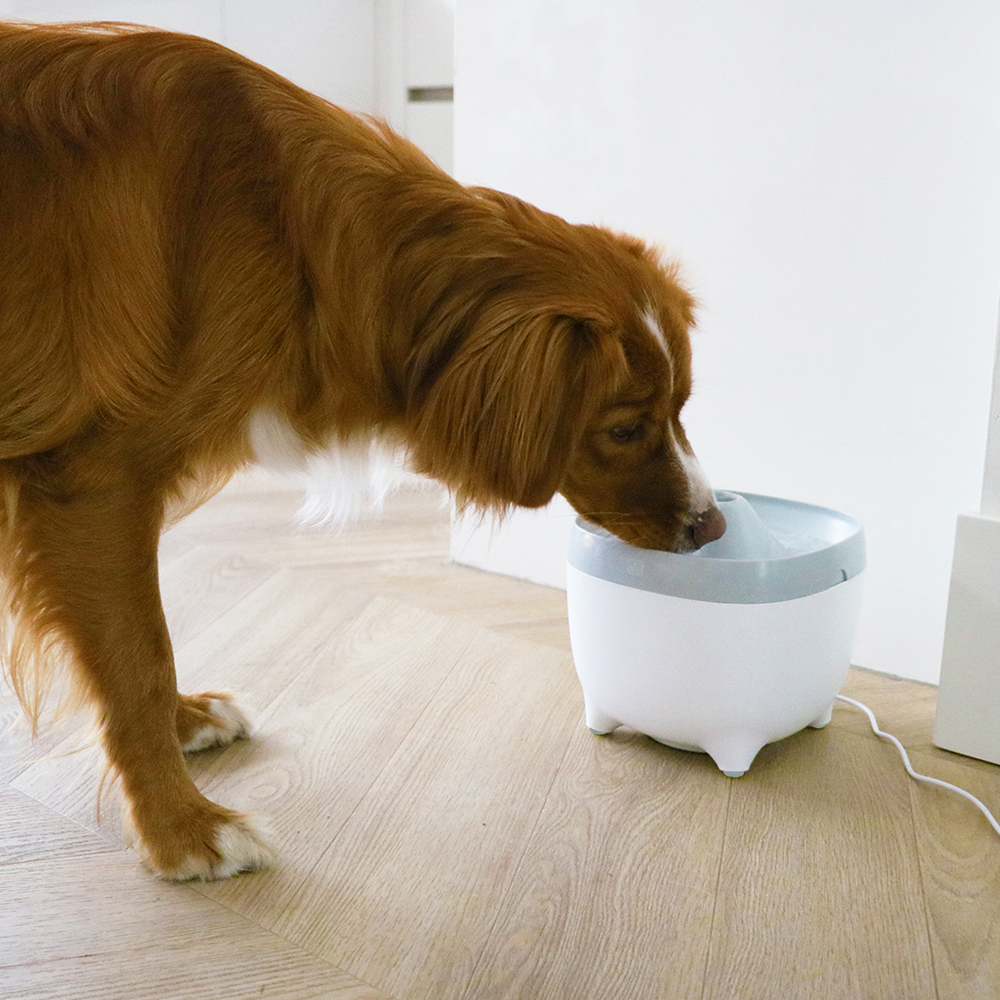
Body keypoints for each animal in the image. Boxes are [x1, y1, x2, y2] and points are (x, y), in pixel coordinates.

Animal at [0, 21, 724, 884]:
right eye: (623, 429)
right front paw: (184, 828)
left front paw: (184, 726)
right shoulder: (97, 478)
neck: (286, 231)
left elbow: (137, 644)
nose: (712, 528)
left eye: (681, 409)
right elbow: (140, 656)